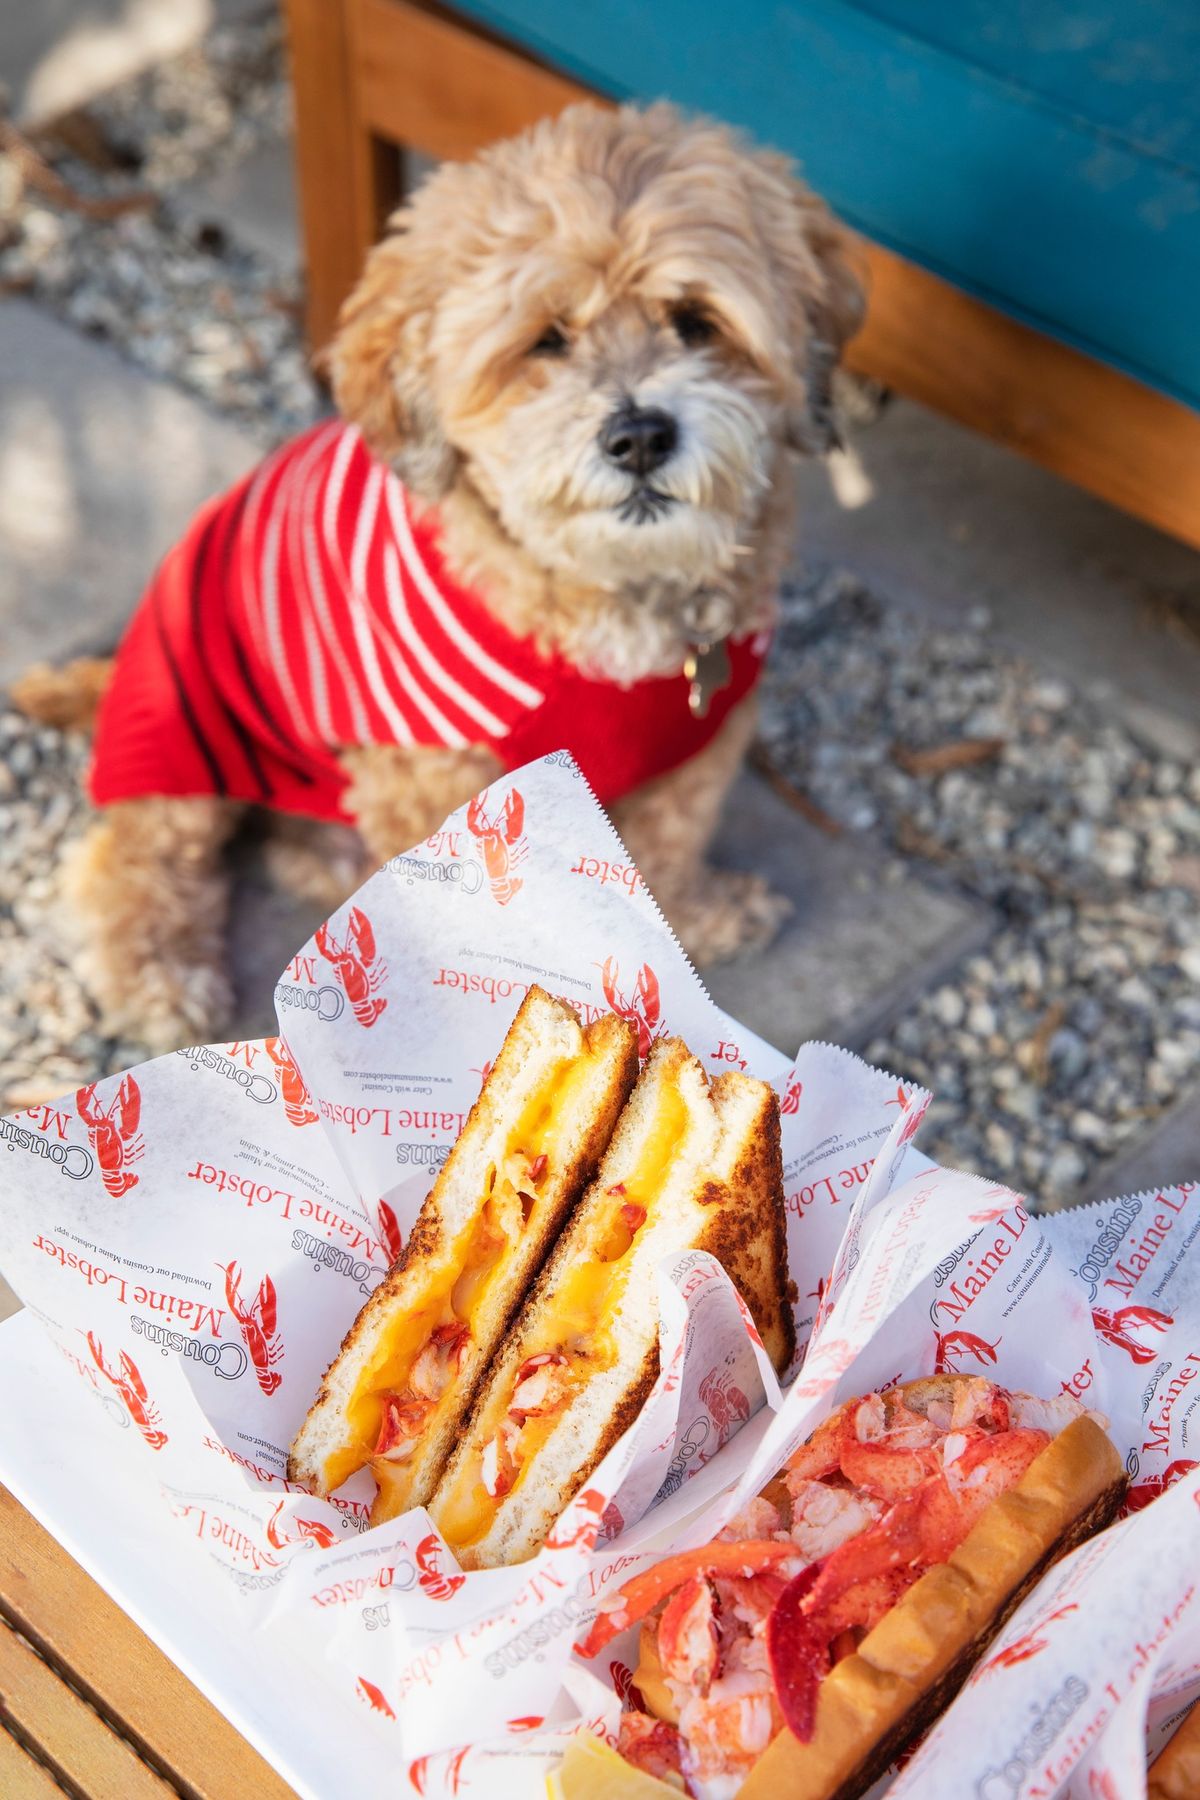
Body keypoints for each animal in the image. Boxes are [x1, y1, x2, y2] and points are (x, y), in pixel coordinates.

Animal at [16, 98, 863, 1051]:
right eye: (546, 341)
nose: (641, 435)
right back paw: (159, 972)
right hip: (184, 729)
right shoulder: (435, 773)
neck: (612, 598)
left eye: (694, 321)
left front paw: (694, 920)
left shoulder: (707, 737)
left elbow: (669, 848)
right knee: (133, 856)